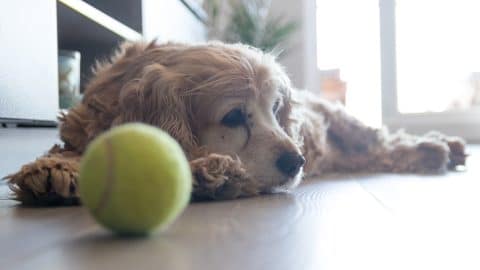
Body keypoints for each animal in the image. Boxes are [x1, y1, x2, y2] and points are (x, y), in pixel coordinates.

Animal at [3, 40, 466, 205]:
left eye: (275, 109)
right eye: (233, 116)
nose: (297, 161)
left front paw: (213, 172)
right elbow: (69, 147)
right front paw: (50, 171)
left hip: (348, 121)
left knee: (384, 142)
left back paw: (439, 147)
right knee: (373, 154)